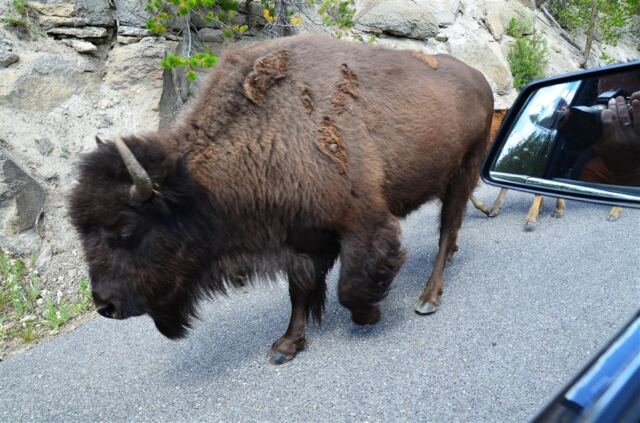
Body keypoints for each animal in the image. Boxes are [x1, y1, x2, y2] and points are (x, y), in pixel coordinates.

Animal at [70, 34, 493, 364]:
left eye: (125, 230)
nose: (105, 306)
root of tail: (480, 79)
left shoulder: (363, 223)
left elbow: (350, 286)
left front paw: (369, 315)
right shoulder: (300, 239)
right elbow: (299, 291)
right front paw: (287, 345)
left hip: (465, 172)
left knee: (447, 229)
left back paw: (428, 297)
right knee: (450, 231)